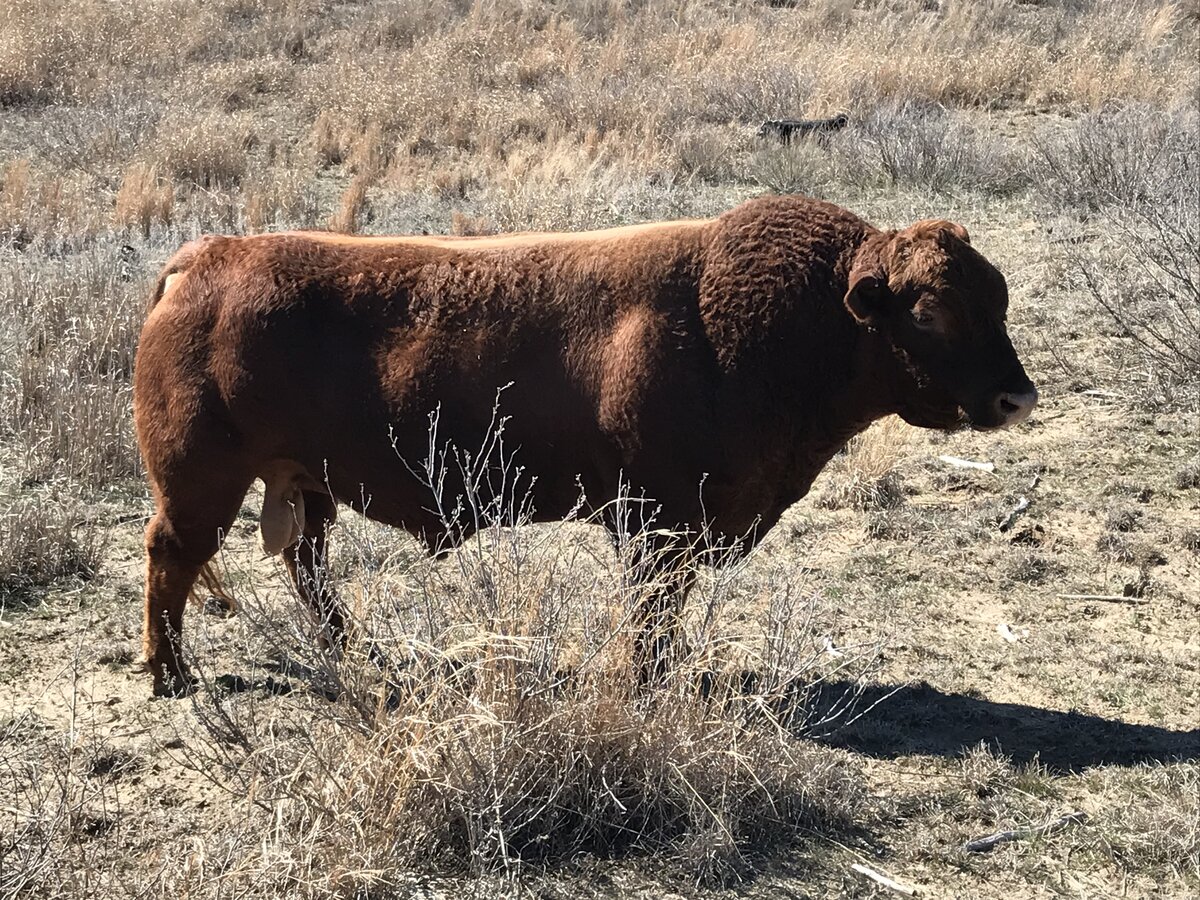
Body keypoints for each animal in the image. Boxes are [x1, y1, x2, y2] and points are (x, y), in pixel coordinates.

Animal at [133, 194, 1038, 696]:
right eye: (931, 310)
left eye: (996, 296)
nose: (1016, 397)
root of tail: (204, 260)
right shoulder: (657, 526)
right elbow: (651, 615)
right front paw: (643, 682)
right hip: (202, 485)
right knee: (173, 558)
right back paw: (171, 676)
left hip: (302, 485)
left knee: (306, 565)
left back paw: (360, 654)